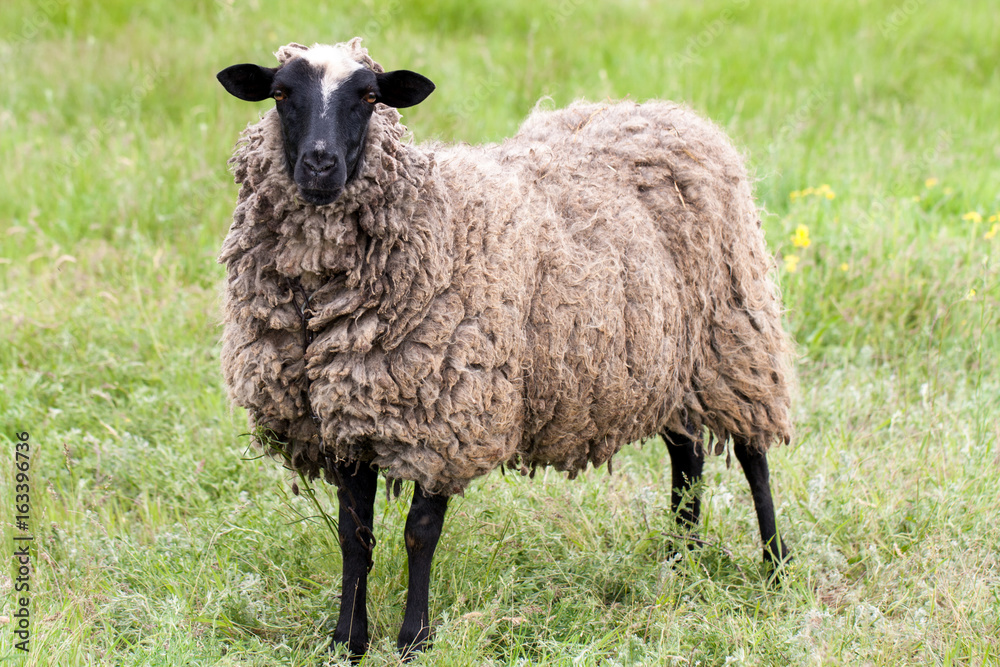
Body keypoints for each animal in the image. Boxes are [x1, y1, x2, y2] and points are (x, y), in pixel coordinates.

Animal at [216, 38, 795, 659]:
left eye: (369, 97)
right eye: (281, 94)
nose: (320, 164)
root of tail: (669, 112)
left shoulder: (446, 421)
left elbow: (419, 534)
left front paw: (414, 638)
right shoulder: (344, 419)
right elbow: (355, 536)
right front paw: (348, 640)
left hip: (733, 339)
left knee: (754, 458)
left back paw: (775, 567)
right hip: (665, 360)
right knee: (687, 455)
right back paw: (680, 560)